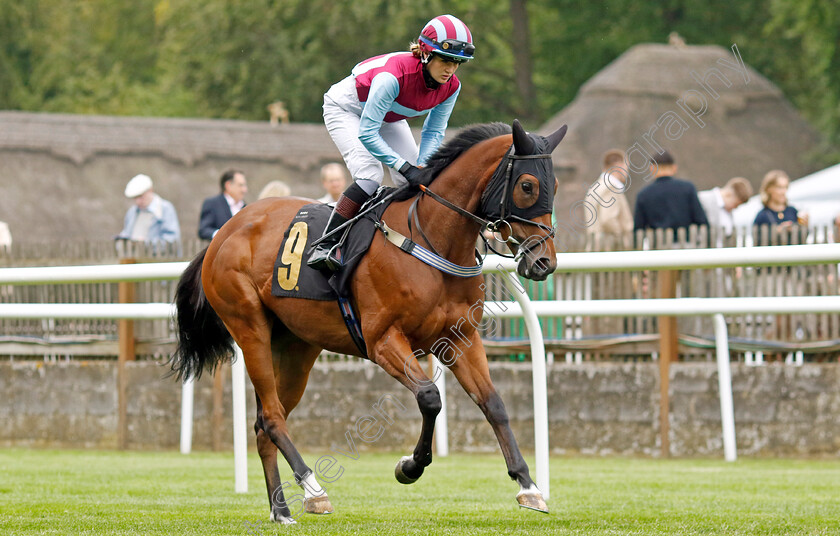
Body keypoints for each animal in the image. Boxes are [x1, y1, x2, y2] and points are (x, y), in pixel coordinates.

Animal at [170, 118, 564, 524]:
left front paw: (528, 486)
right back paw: (314, 489)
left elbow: (493, 404)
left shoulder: (460, 340)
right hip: (250, 330)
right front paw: (409, 466)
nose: (544, 262)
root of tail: (225, 231)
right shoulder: (383, 340)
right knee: (273, 416)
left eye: (555, 185)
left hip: (297, 347)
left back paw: (282, 509)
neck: (432, 239)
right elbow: (430, 397)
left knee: (264, 423)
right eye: (528, 185)